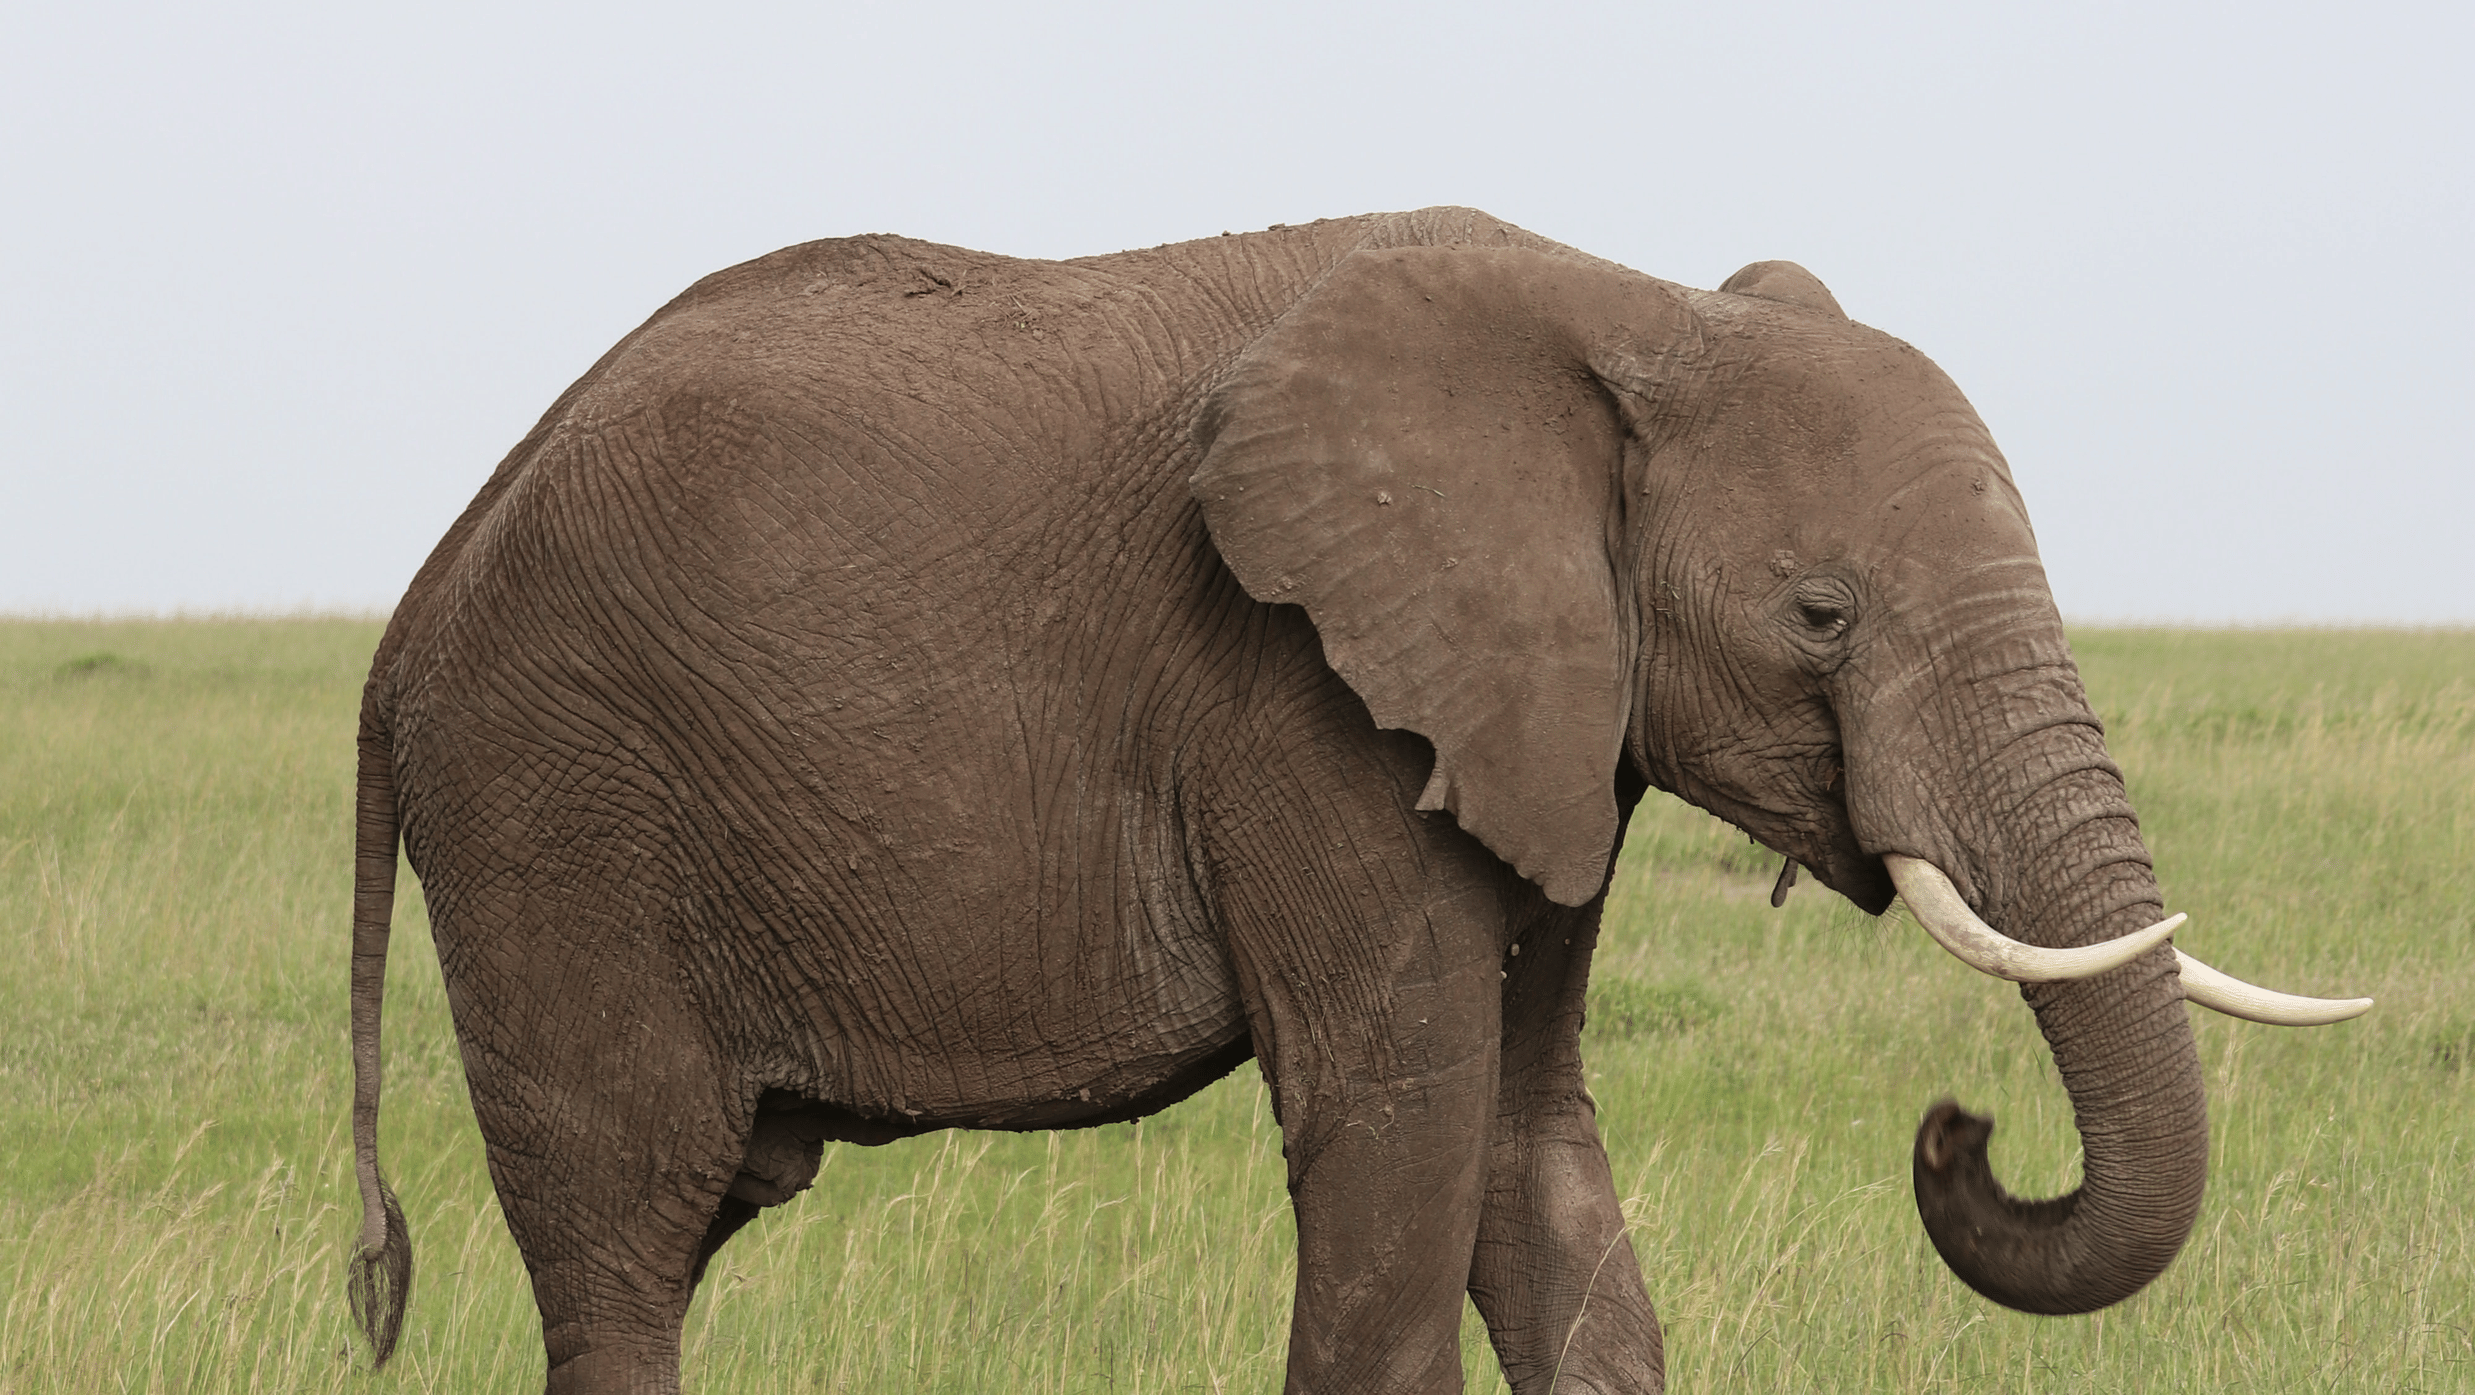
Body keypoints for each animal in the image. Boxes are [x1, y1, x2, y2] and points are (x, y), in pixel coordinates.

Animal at [344, 208, 2367, 1393]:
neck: (1628, 313)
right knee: (623, 1235)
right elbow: (1398, 1135)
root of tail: (412, 605)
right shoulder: (1299, 700)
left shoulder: (1538, 716)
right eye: (1820, 614)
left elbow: (1530, 1153)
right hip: (550, 817)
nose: (1959, 1131)